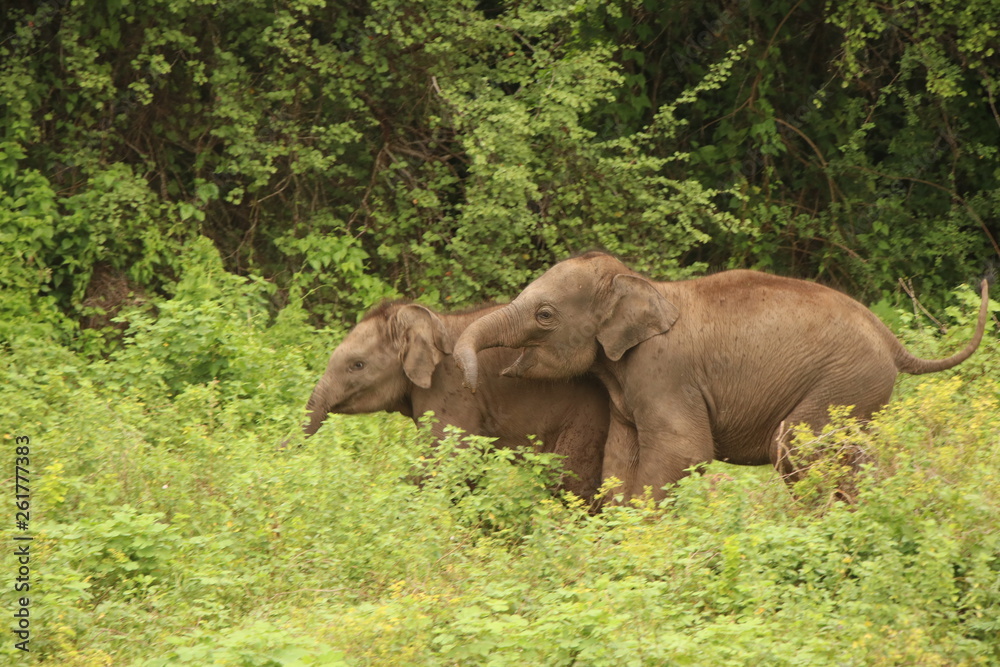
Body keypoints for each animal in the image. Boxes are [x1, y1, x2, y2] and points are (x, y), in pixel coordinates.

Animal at [453, 251, 991, 503]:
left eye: (544, 315)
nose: (473, 382)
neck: (643, 284)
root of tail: (891, 340)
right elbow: (622, 454)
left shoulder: (665, 374)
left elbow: (684, 450)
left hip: (844, 382)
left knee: (795, 446)